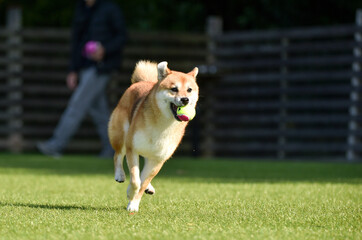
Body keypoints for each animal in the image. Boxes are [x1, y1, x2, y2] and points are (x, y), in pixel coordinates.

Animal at [109, 60, 199, 212]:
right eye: (174, 89)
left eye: (189, 90)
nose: (185, 99)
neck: (163, 125)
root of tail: (141, 82)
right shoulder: (132, 148)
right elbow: (135, 181)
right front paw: (131, 194)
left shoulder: (158, 159)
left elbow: (143, 183)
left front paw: (134, 203)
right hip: (121, 135)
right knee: (118, 155)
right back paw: (119, 175)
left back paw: (148, 187)